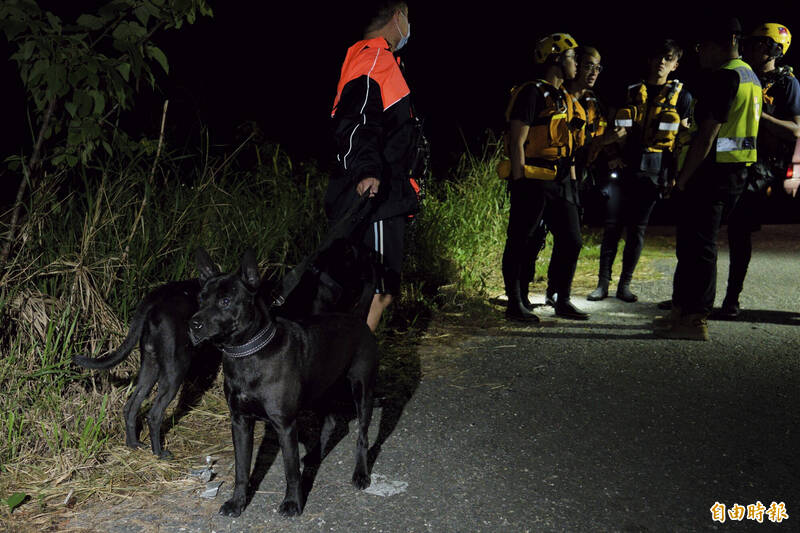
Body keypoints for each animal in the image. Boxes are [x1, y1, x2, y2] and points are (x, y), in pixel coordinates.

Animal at [73, 278, 219, 458]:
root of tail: (155, 298)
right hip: (175, 370)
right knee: (154, 415)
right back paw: (159, 453)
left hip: (150, 366)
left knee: (130, 407)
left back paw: (133, 444)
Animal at [188, 248, 378, 516]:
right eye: (200, 299)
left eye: (225, 301)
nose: (193, 324)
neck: (248, 352)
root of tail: (357, 318)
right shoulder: (240, 421)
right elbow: (241, 469)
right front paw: (237, 502)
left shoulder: (284, 424)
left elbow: (290, 471)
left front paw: (292, 503)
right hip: (320, 390)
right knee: (331, 422)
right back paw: (314, 456)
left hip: (362, 390)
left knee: (362, 435)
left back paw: (361, 474)